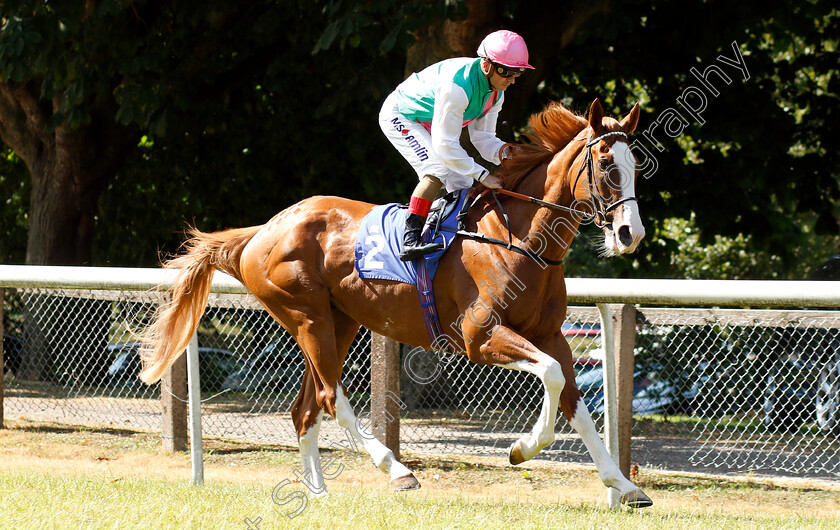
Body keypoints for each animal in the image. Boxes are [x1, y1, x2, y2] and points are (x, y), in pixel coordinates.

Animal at [138, 97, 652, 506]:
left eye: (637, 167)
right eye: (607, 165)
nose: (632, 234)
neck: (521, 240)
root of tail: (263, 231)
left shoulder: (550, 335)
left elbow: (573, 399)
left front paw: (625, 486)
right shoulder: (479, 336)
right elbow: (550, 375)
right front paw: (522, 447)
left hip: (337, 322)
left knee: (305, 408)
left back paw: (319, 493)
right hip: (307, 317)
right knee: (330, 398)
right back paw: (397, 470)